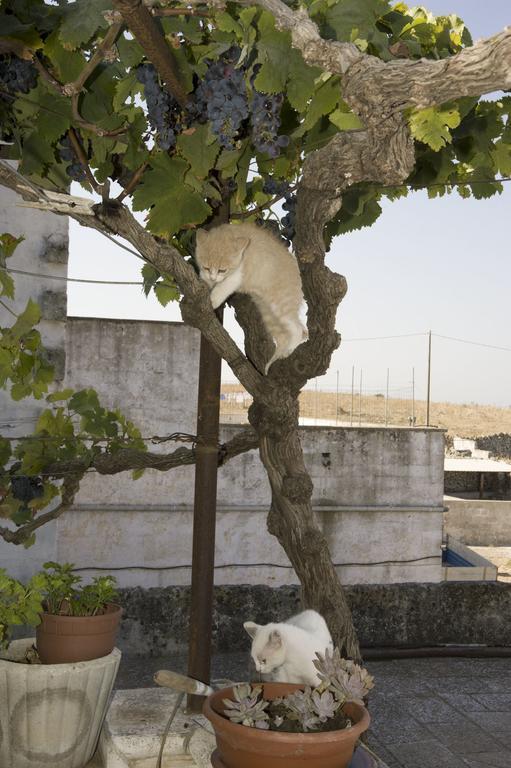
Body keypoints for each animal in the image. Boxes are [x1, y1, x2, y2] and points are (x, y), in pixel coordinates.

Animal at [196, 222, 308, 376]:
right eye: (206, 267)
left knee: (299, 330)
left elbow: (223, 287)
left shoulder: (236, 276)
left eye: (222, 270)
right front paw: (205, 284)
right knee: (290, 335)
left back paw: (288, 351)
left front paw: (212, 300)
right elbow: (205, 279)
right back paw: (273, 361)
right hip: (268, 314)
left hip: (280, 306)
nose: (213, 277)